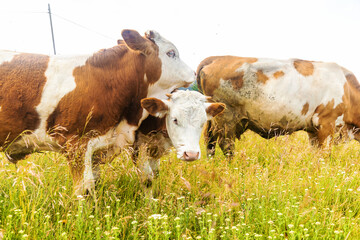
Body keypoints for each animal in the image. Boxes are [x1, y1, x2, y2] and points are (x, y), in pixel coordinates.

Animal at [197, 56, 360, 158]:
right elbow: (323, 154)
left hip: (215, 118)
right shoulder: (326, 123)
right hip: (227, 118)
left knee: (209, 141)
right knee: (226, 145)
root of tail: (216, 58)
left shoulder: (313, 130)